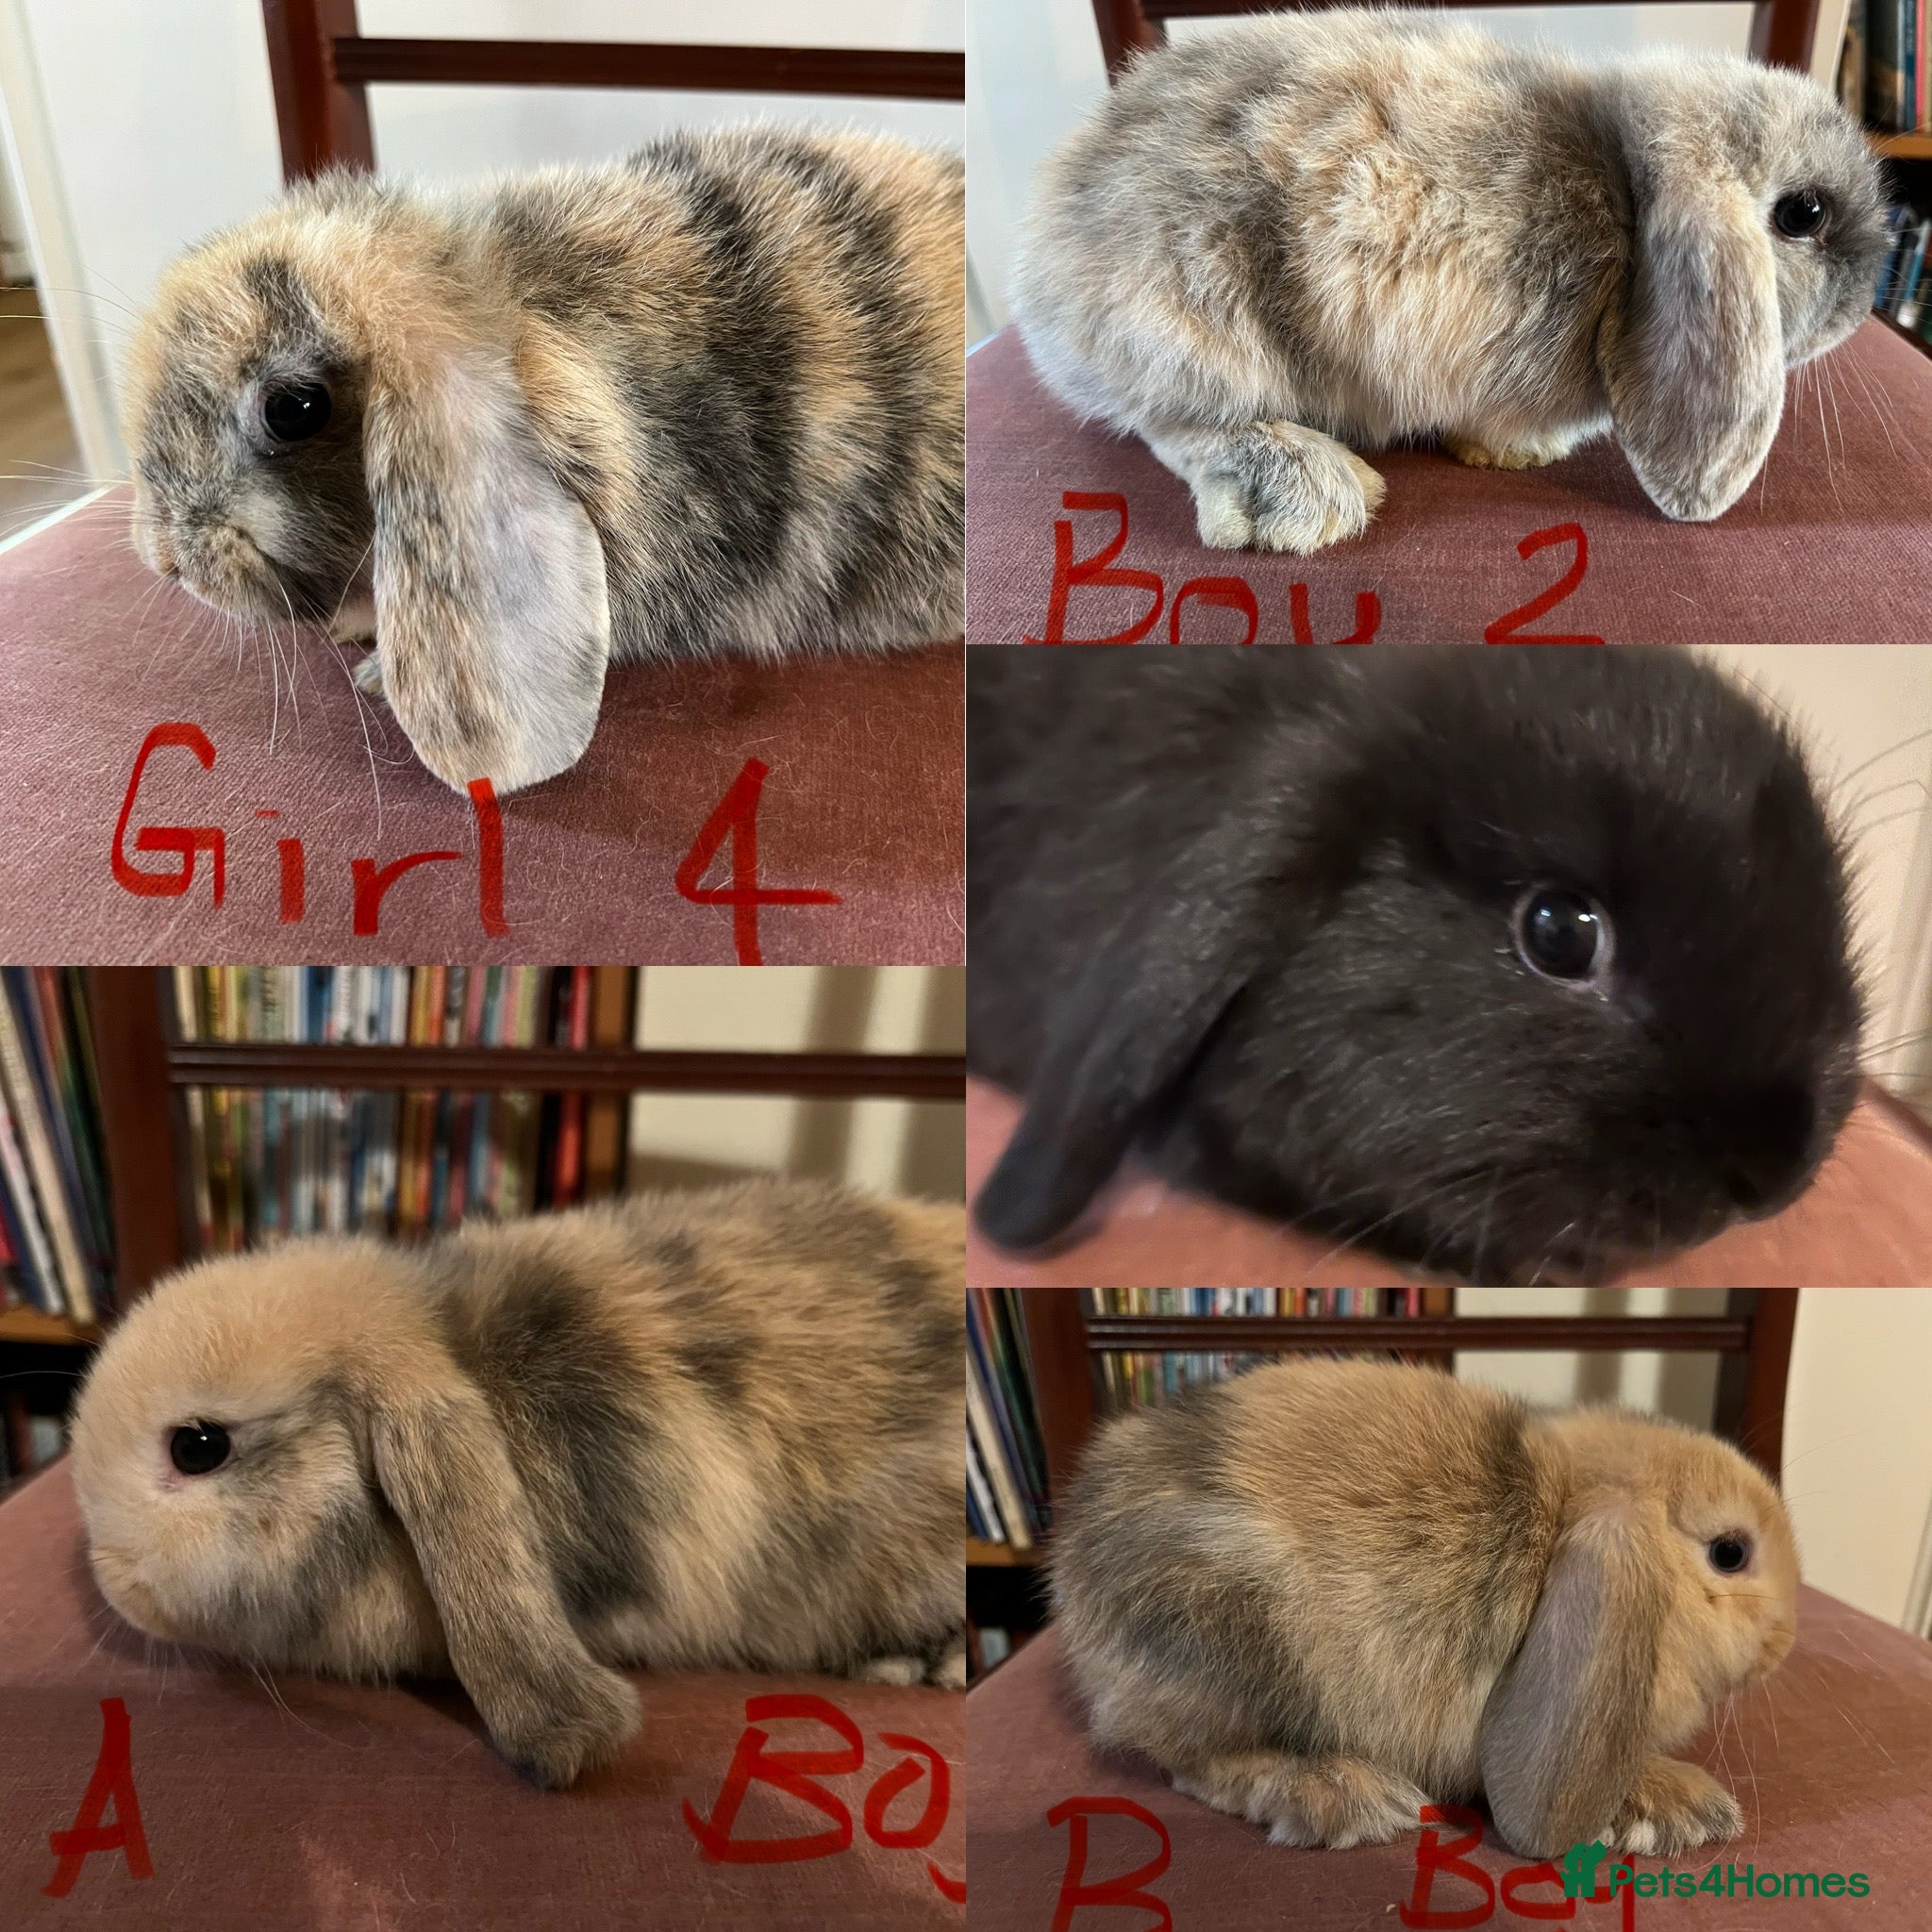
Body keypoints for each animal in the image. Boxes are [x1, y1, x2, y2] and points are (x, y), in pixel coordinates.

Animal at [1011, 10, 1888, 551]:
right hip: (1191, 321)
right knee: (1172, 425)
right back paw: (1302, 496)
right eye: (1804, 213)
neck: (1626, 207)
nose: (1864, 302)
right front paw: (1520, 453)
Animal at [1052, 1357, 1799, 1858]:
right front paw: (1684, 1805)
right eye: (1730, 1553)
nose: (1786, 1642)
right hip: (1233, 1637)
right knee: (1196, 1764)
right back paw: (1351, 1798)